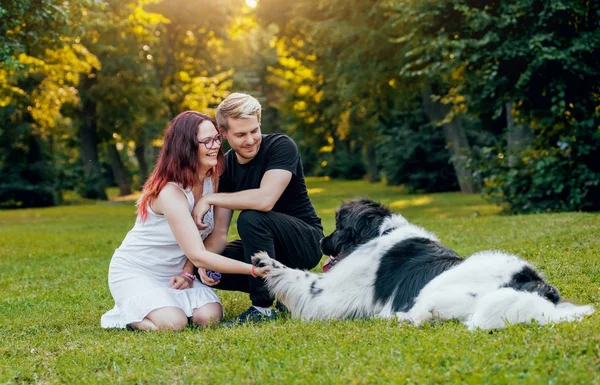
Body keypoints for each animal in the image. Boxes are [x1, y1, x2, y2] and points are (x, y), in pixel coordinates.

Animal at [251, 200, 592, 328]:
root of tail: (534, 286)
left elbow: (297, 278)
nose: (322, 241)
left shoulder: (326, 295)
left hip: (437, 291)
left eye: (337, 226)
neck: (379, 232)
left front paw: (266, 262)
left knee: (421, 317)